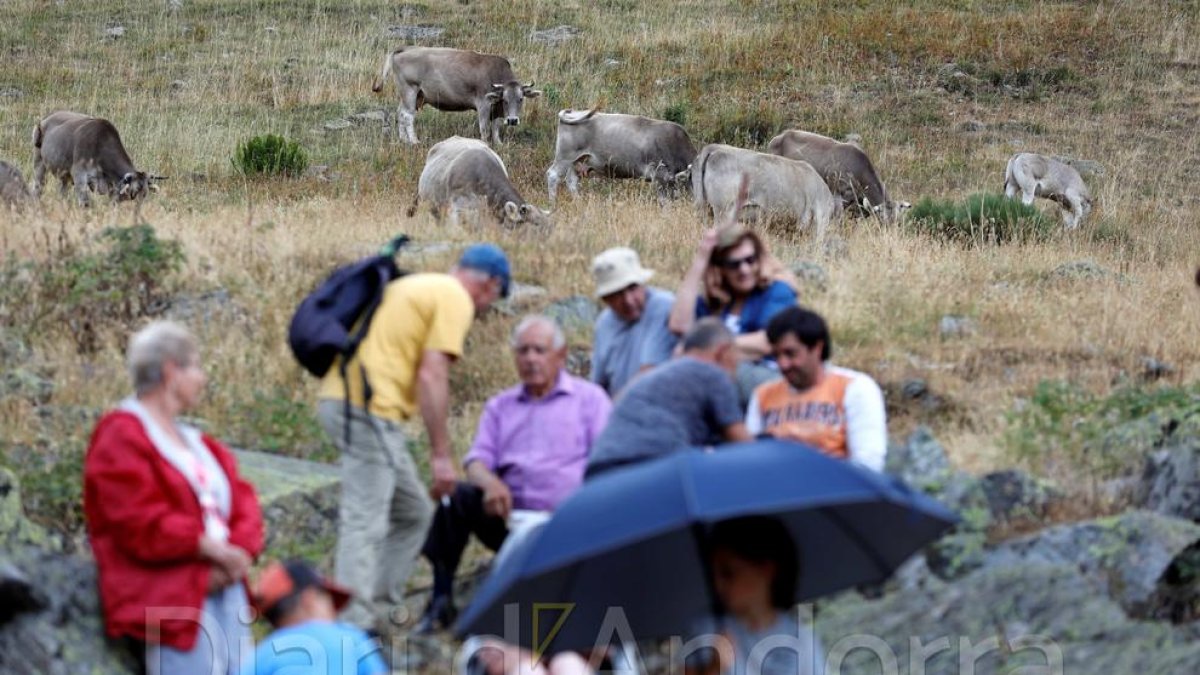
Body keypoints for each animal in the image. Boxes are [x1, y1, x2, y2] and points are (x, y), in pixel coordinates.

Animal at [32, 110, 163, 206]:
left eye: (145, 194)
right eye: (132, 194)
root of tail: (46, 118)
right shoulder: (79, 176)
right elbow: (85, 203)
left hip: (65, 176)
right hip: (39, 162)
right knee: (38, 187)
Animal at [369, 45, 544, 144]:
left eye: (521, 99)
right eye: (506, 100)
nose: (513, 120)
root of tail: (405, 49)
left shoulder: (496, 109)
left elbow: (495, 126)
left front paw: (499, 143)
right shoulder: (483, 103)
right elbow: (485, 128)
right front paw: (486, 144)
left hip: (410, 95)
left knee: (400, 113)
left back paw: (403, 139)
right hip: (409, 89)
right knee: (407, 116)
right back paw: (414, 141)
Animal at [544, 105, 696, 201]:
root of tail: (574, 112)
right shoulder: (660, 175)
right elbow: (665, 201)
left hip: (578, 161)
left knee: (572, 181)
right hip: (564, 157)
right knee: (553, 175)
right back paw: (553, 203)